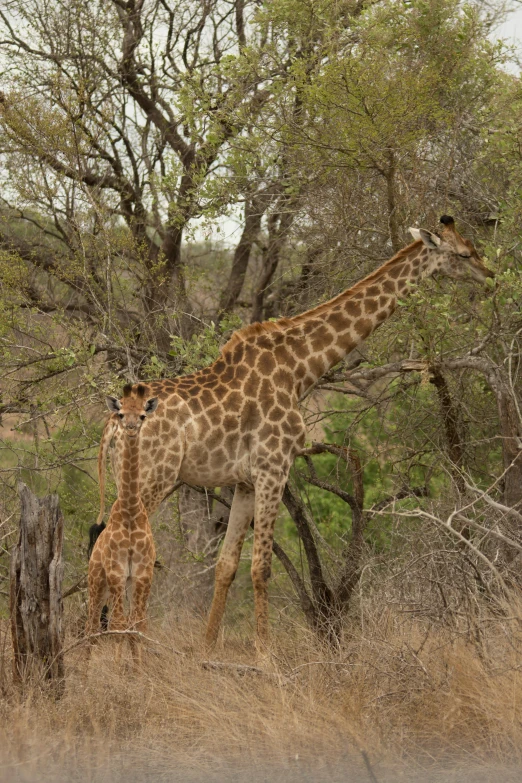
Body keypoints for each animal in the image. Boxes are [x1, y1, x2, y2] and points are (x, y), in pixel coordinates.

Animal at [95, 217, 490, 652]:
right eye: (464, 253)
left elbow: (226, 565)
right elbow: (261, 567)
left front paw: (207, 648)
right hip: (152, 479)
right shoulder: (275, 467)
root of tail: (110, 425)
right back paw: (121, 648)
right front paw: (265, 655)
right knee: (112, 549)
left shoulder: (246, 480)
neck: (301, 368)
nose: (490, 277)